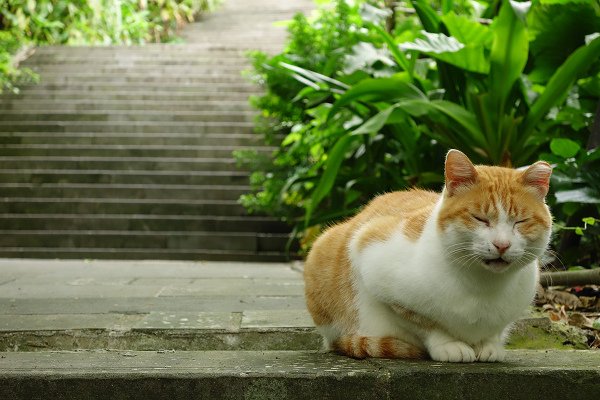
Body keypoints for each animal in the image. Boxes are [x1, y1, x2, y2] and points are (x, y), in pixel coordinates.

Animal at [304, 148, 552, 360]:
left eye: (520, 221)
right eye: (480, 219)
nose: (502, 245)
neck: (484, 286)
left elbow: (495, 330)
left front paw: (489, 345)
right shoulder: (368, 252)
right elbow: (424, 323)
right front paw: (449, 345)